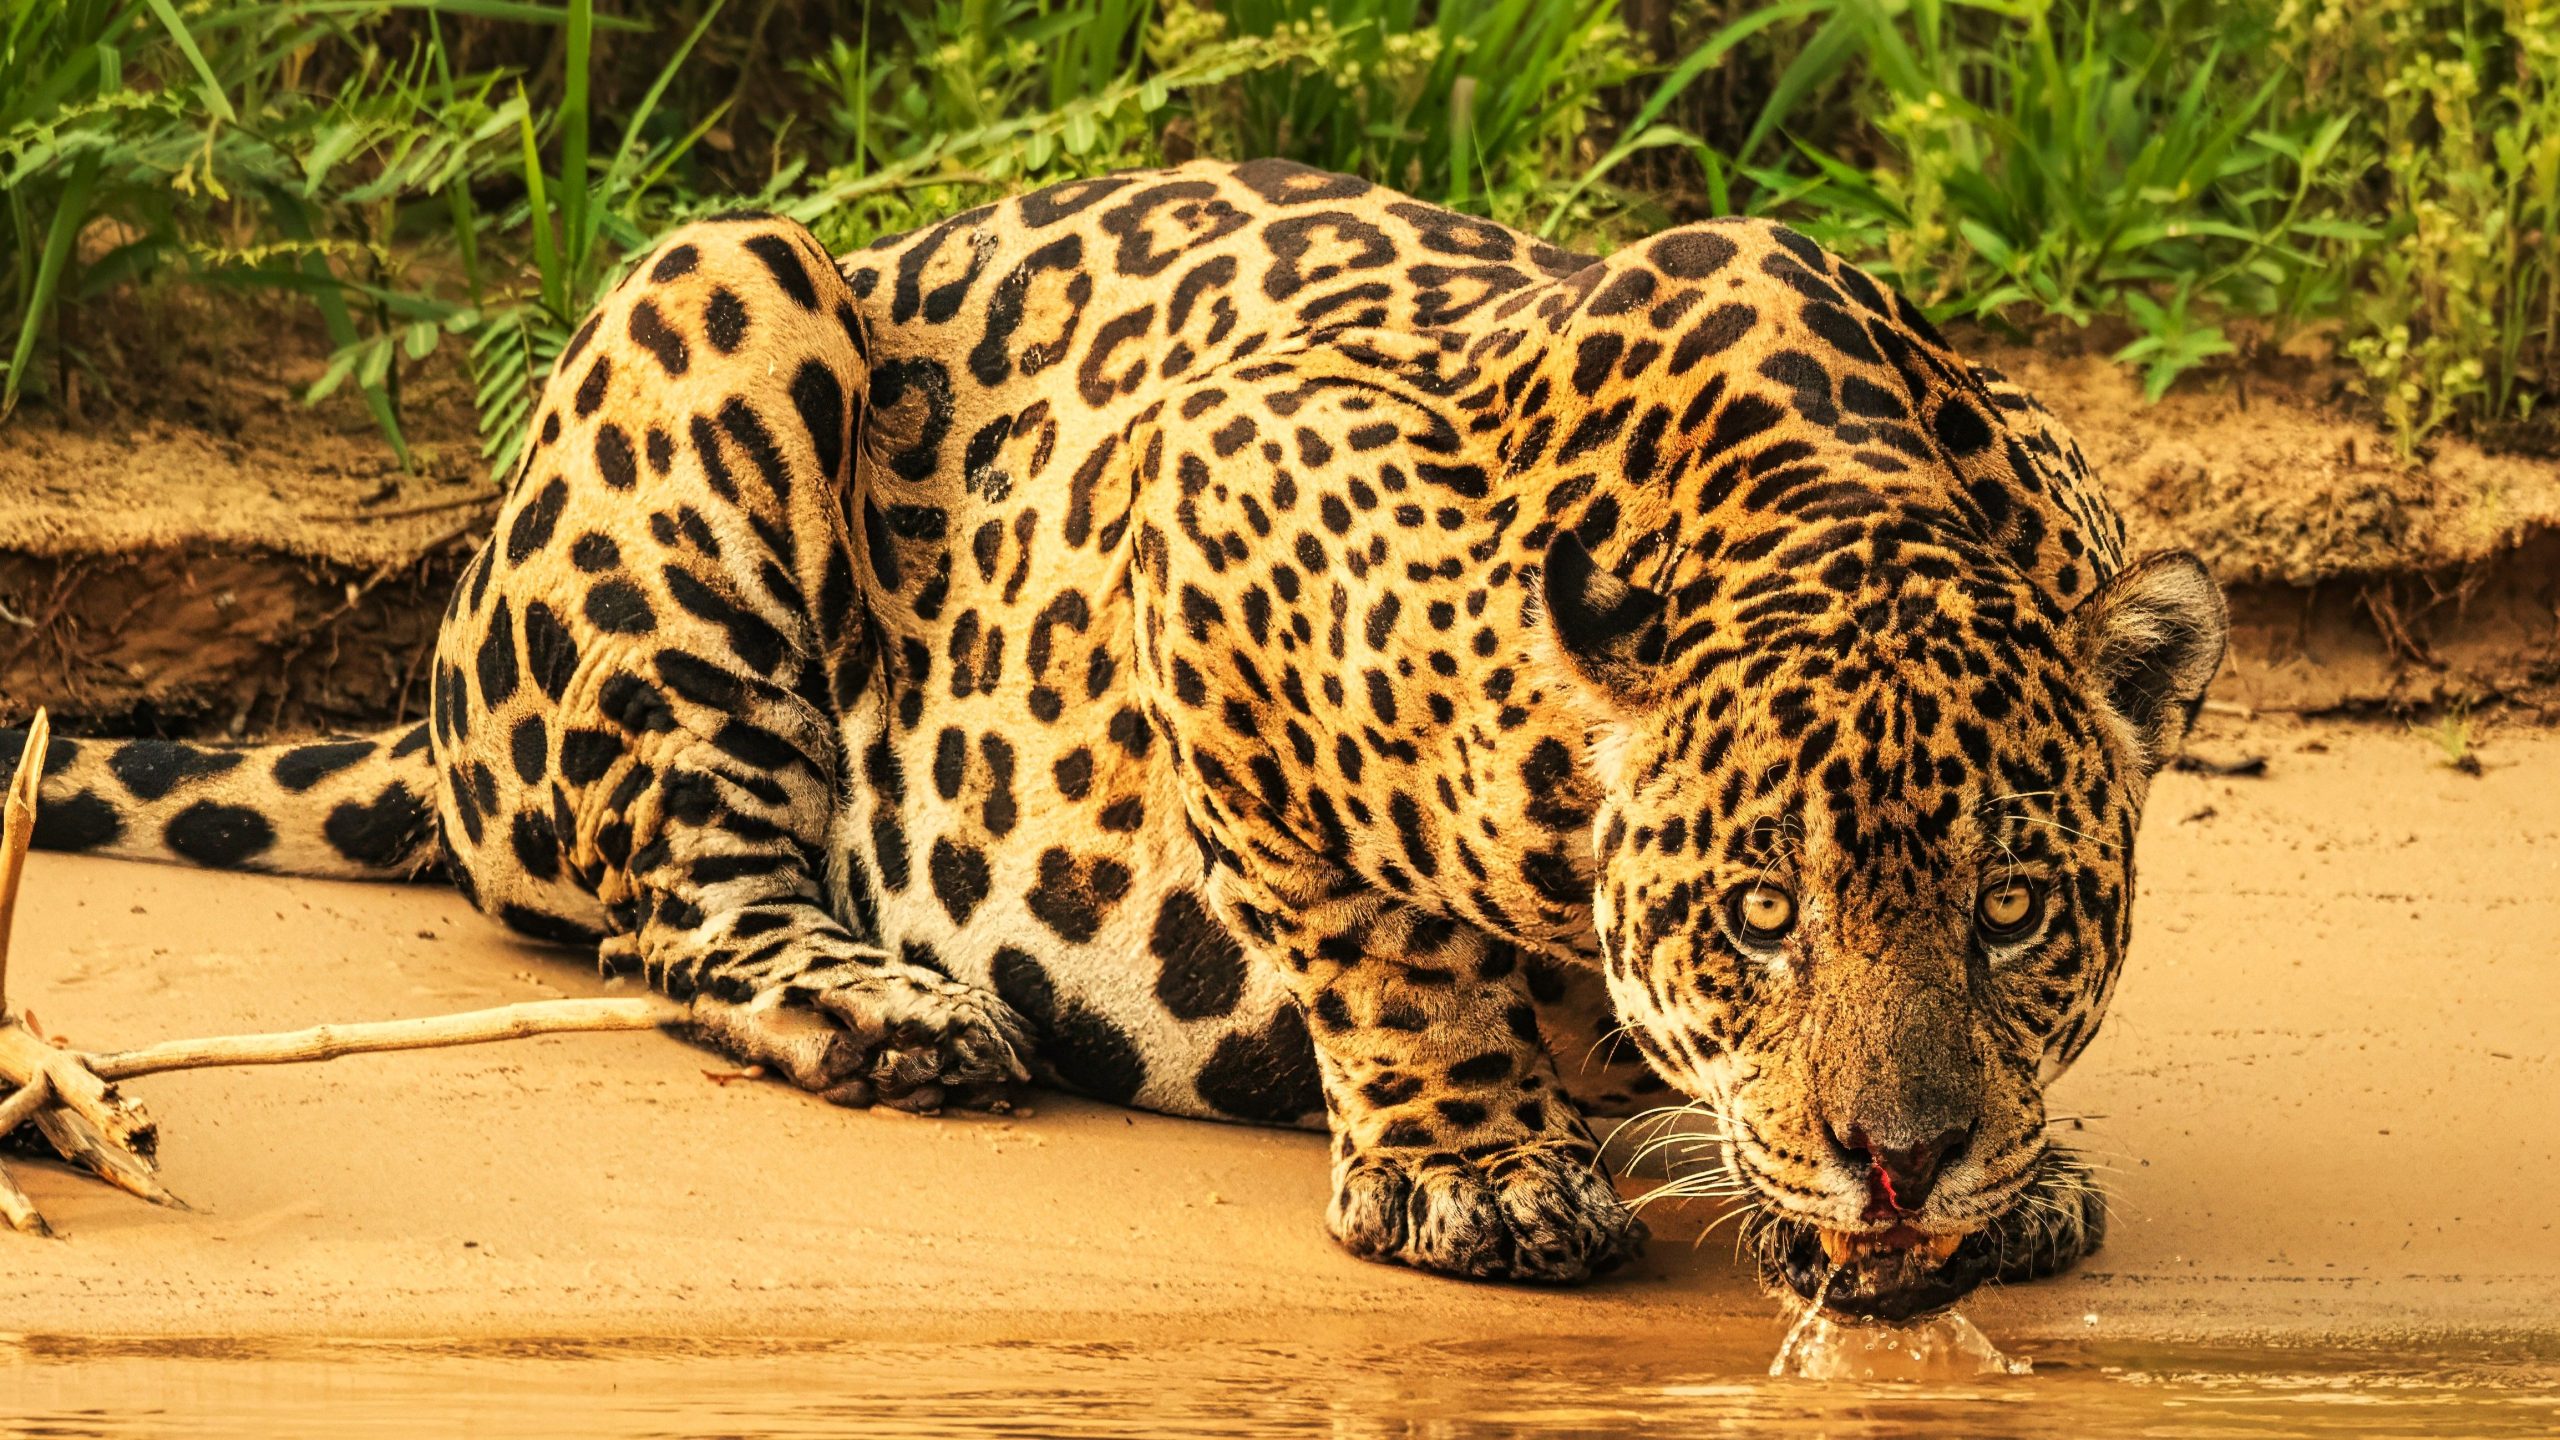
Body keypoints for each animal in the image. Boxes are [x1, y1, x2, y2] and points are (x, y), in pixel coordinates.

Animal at [1, 159, 2227, 1322]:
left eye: (2015, 912)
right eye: (1757, 915)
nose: (1897, 1160)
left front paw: (2012, 1171)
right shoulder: (1222, 480)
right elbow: (1378, 933)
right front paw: (1473, 1171)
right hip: (724, 295)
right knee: (677, 901)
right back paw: (893, 1011)